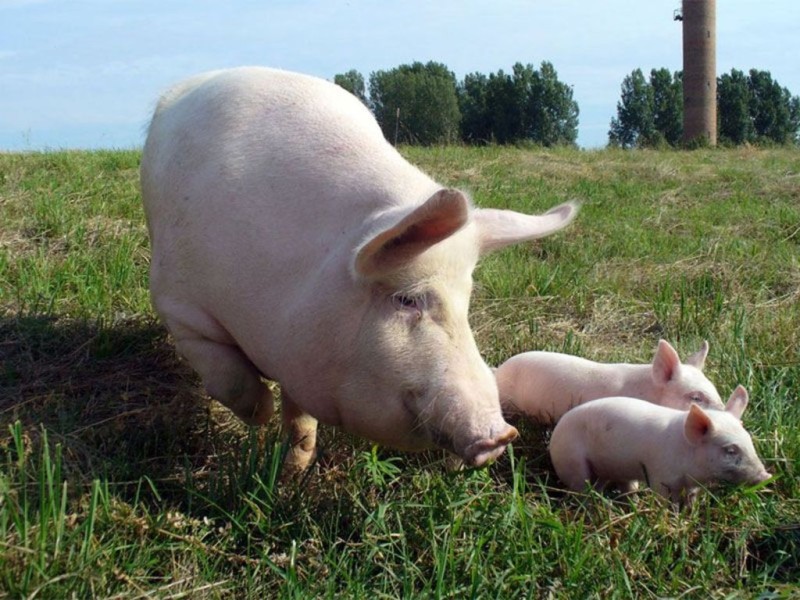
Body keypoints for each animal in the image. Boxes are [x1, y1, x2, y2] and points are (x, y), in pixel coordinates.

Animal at [138, 69, 576, 474]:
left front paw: (294, 468)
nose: (501, 436)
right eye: (406, 299)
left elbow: (299, 415)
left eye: (466, 303)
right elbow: (227, 377)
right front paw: (261, 415)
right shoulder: (179, 304)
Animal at [552, 386, 768, 504]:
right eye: (730, 450)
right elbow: (665, 501)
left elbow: (691, 499)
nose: (766, 475)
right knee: (581, 489)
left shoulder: (693, 484)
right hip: (572, 462)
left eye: (750, 441)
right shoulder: (660, 477)